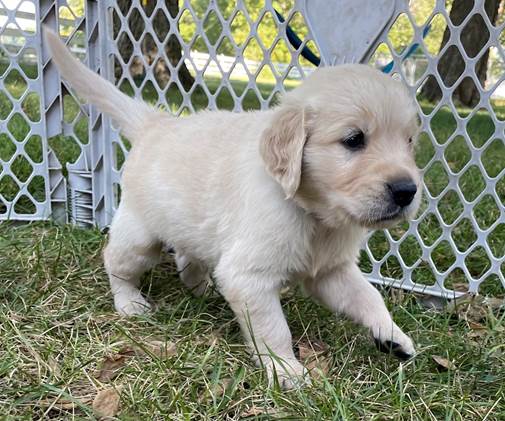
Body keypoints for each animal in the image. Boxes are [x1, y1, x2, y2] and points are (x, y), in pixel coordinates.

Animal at [45, 28, 420, 388]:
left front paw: (393, 335)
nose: (408, 190)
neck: (314, 215)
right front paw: (285, 370)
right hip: (140, 237)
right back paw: (129, 302)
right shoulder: (249, 277)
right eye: (354, 140)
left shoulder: (331, 271)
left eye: (409, 141)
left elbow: (369, 296)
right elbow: (274, 329)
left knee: (188, 259)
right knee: (115, 261)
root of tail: (156, 123)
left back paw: (202, 289)